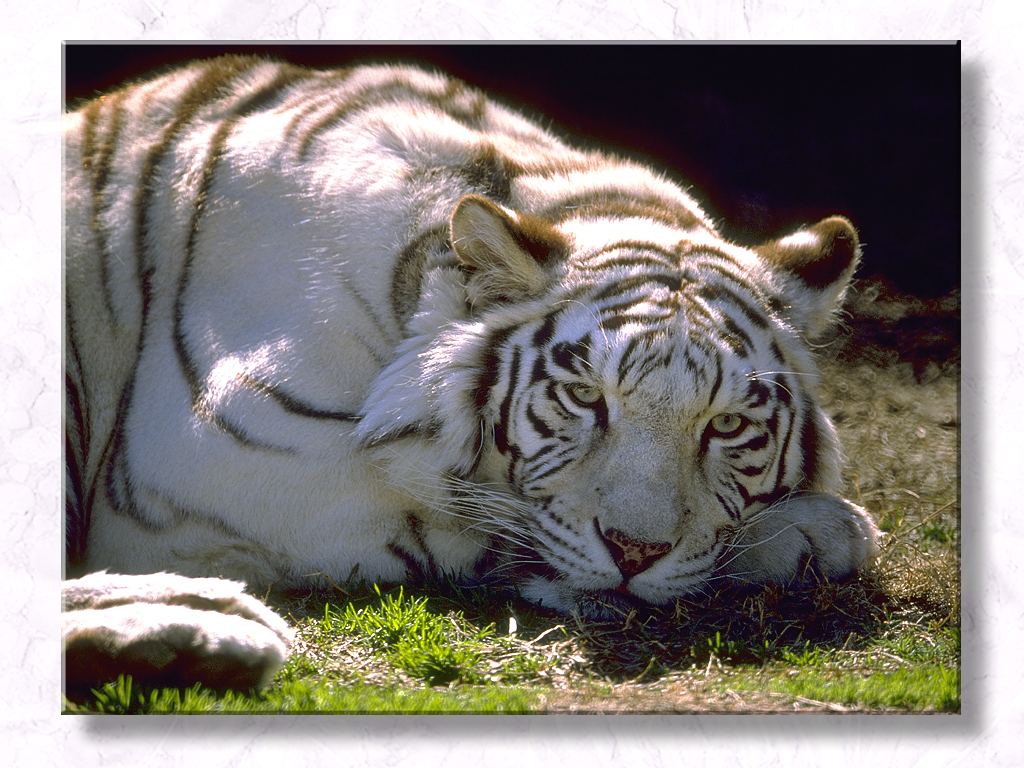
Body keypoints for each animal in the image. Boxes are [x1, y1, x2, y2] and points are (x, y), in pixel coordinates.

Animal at [61, 54, 880, 696]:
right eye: (585, 398)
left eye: (728, 424)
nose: (635, 553)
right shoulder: (220, 461)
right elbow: (460, 515)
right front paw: (825, 531)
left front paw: (803, 532)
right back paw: (206, 627)